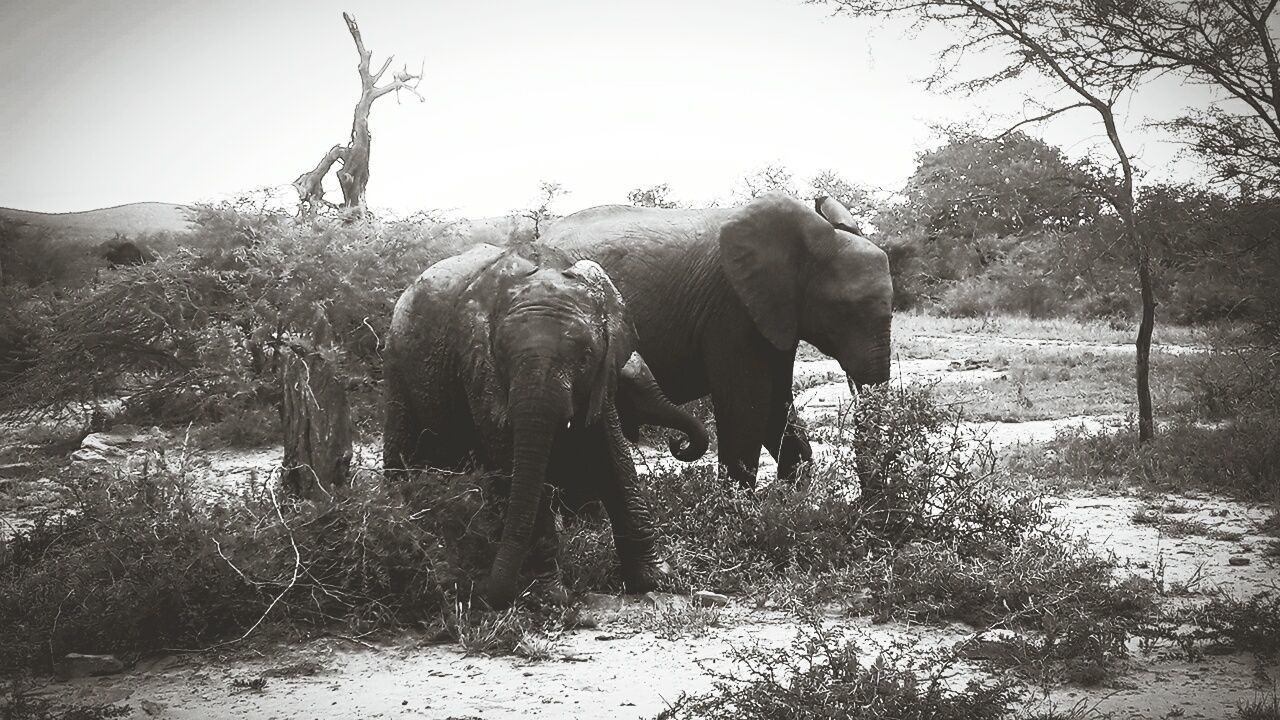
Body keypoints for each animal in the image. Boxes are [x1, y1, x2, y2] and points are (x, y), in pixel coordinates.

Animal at [378, 240, 711, 604]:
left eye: (585, 358)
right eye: (503, 356)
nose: (479, 590)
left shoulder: (602, 378)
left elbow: (612, 457)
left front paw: (657, 578)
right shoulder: (477, 366)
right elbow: (511, 456)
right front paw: (549, 596)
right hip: (397, 368)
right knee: (403, 452)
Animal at [545, 192, 896, 486]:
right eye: (842, 311)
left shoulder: (775, 315)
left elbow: (777, 404)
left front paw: (789, 501)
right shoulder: (731, 309)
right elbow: (747, 406)